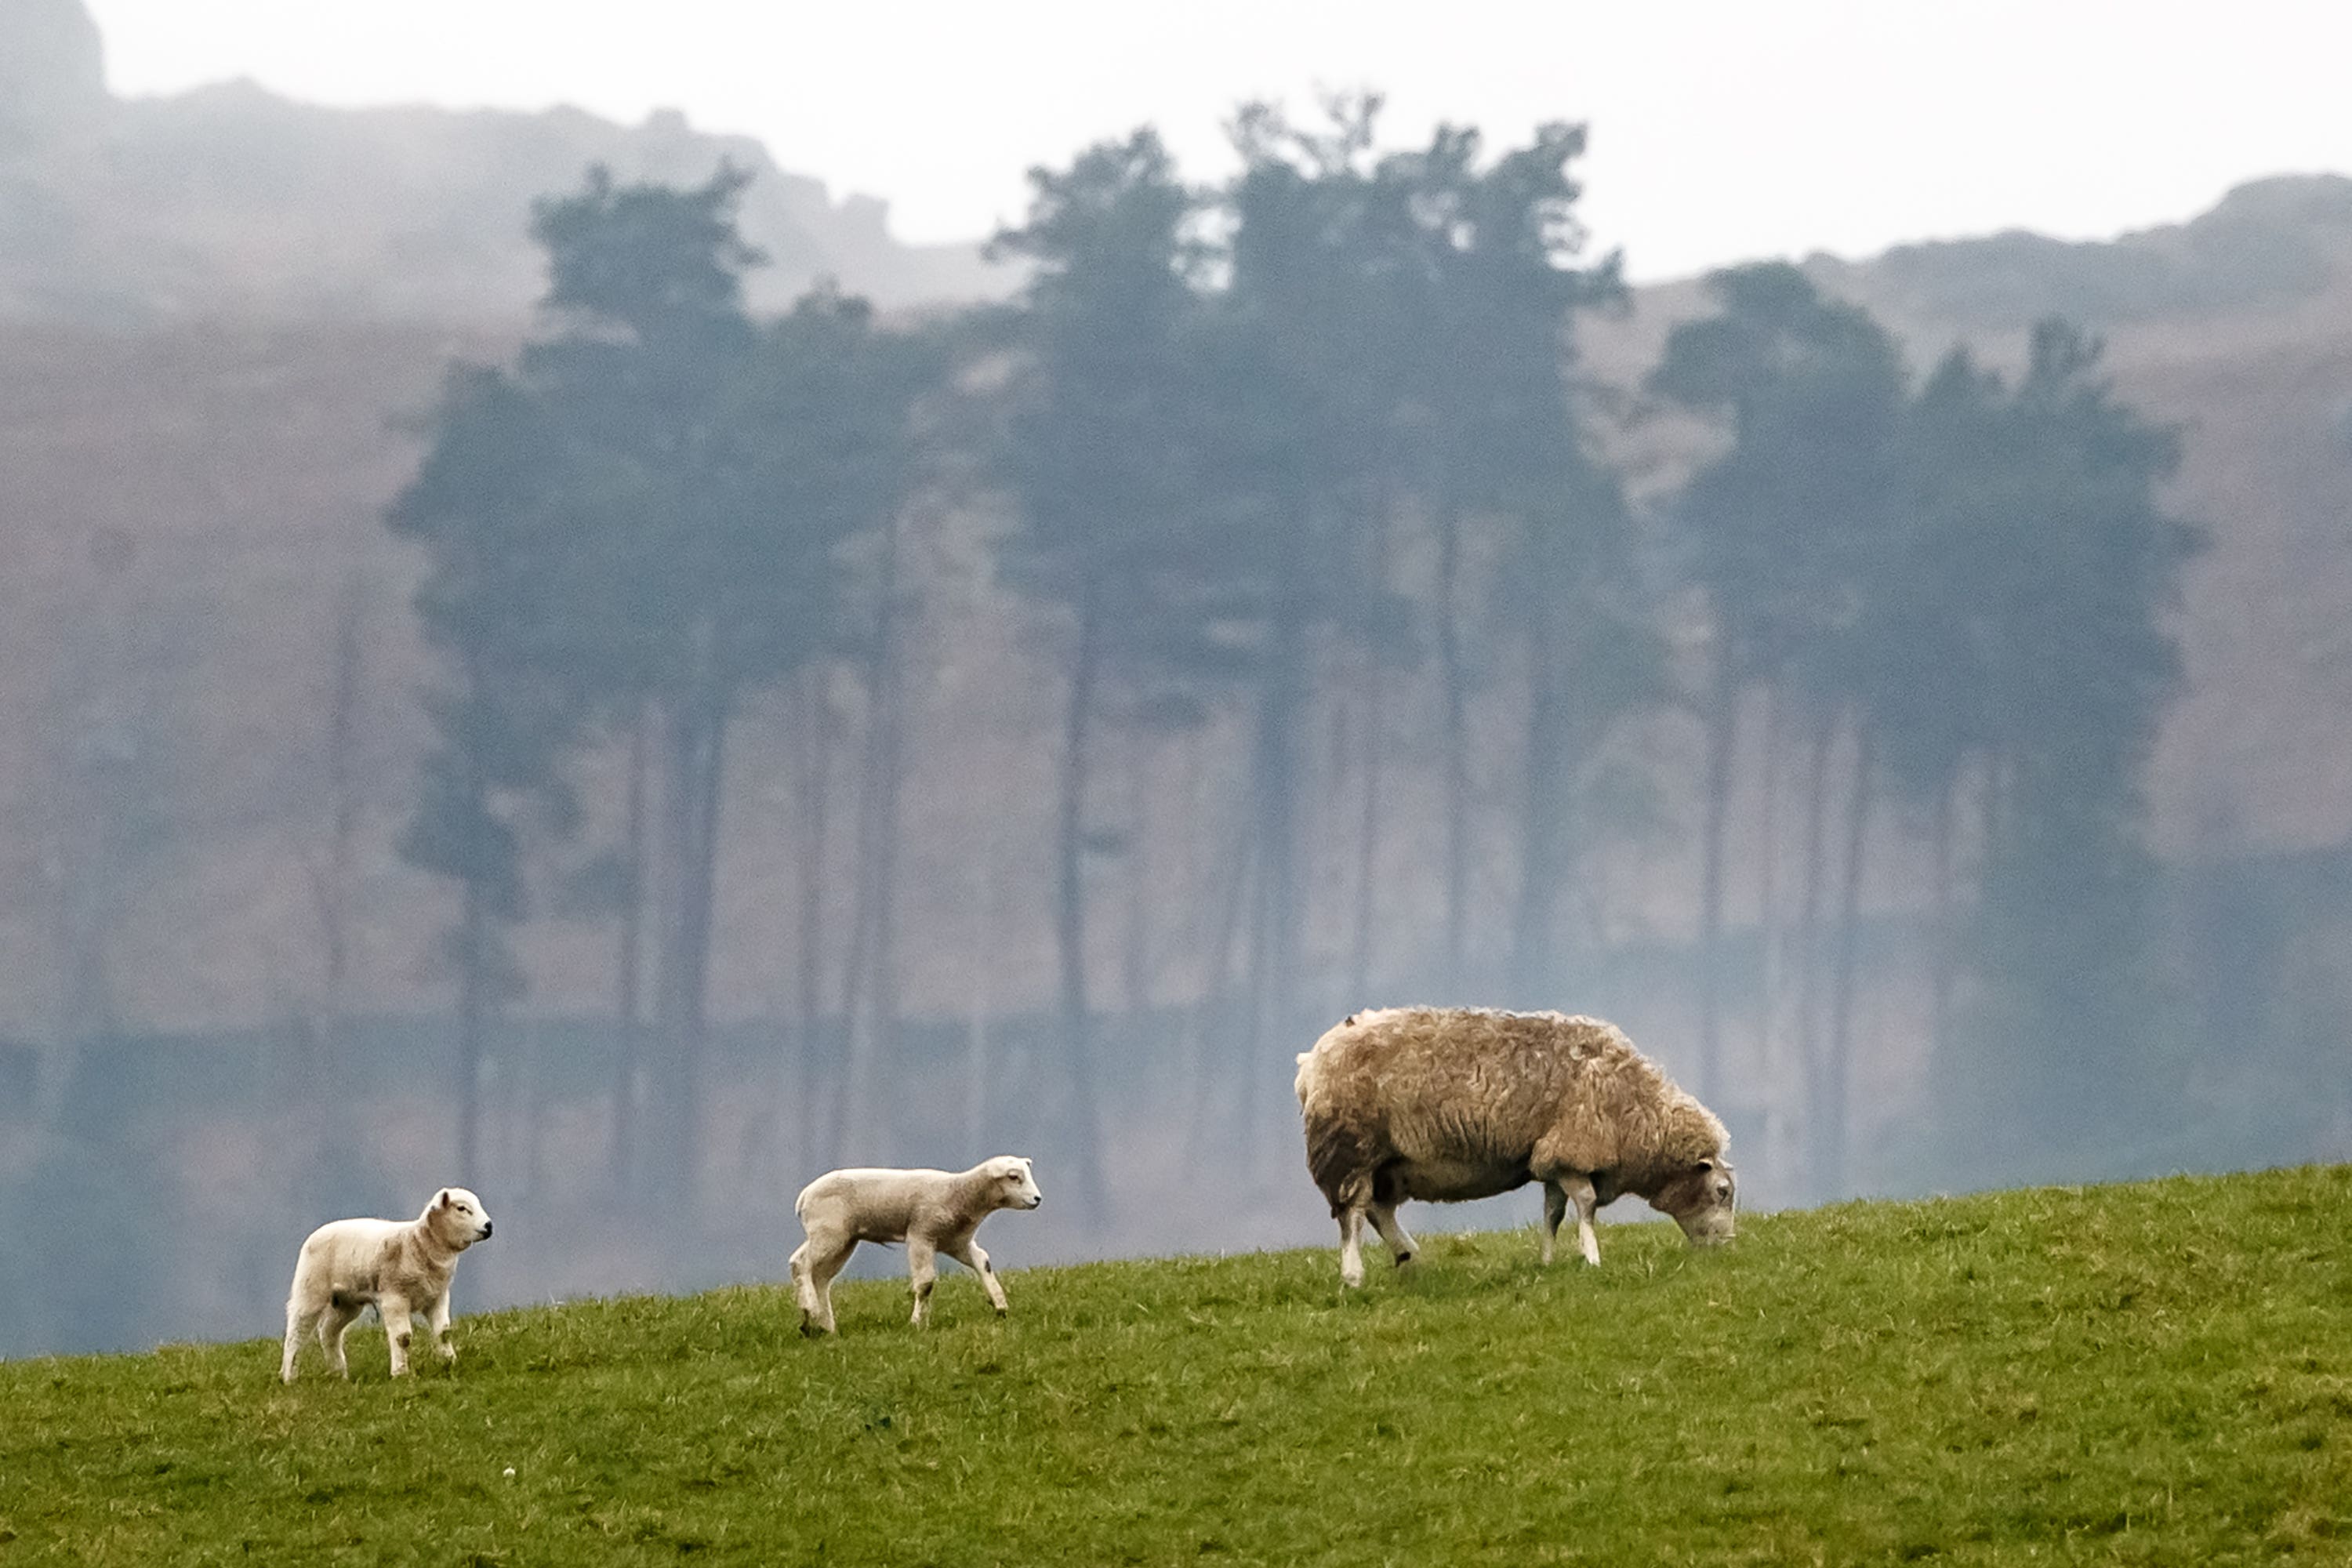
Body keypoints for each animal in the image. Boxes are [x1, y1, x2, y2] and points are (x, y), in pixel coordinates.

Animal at [280, 1189, 492, 1382]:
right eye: (462, 1208)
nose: (488, 1226)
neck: (418, 1244)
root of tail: (316, 1233)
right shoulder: (394, 1297)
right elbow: (403, 1338)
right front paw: (400, 1373)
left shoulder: (437, 1296)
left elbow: (444, 1333)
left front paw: (450, 1362)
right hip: (311, 1289)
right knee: (296, 1332)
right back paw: (289, 1376)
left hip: (347, 1302)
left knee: (329, 1332)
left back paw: (339, 1374)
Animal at [790, 1152, 1040, 1335]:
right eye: (1014, 1177)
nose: (1038, 1199)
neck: (959, 1194)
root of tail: (804, 1197)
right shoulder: (921, 1235)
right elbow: (926, 1283)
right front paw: (917, 1323)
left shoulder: (956, 1242)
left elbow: (983, 1261)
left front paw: (1000, 1305)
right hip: (828, 1232)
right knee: (800, 1263)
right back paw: (810, 1308)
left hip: (843, 1239)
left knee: (821, 1278)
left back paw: (823, 1325)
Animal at [1298, 1006, 1740, 1288]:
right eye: (1722, 1192)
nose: (1727, 1247)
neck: (1636, 1110)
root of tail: (1312, 1060)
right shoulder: (1573, 1149)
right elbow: (1585, 1205)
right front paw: (1592, 1257)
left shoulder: (1551, 1158)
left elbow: (1553, 1212)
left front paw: (1547, 1260)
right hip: (1349, 1147)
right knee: (1353, 1214)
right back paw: (1354, 1275)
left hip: (1389, 1162)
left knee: (1378, 1209)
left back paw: (1409, 1257)